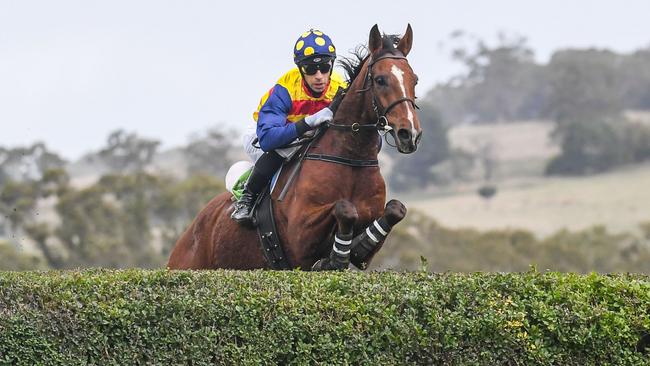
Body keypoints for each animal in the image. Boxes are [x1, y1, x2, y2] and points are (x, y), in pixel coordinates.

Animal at [166, 22, 420, 268]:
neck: (350, 158)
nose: (409, 134)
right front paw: (335, 257)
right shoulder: (300, 235)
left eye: (414, 79)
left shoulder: (370, 233)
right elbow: (345, 209)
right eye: (380, 80)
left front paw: (353, 247)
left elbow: (395, 209)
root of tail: (190, 232)